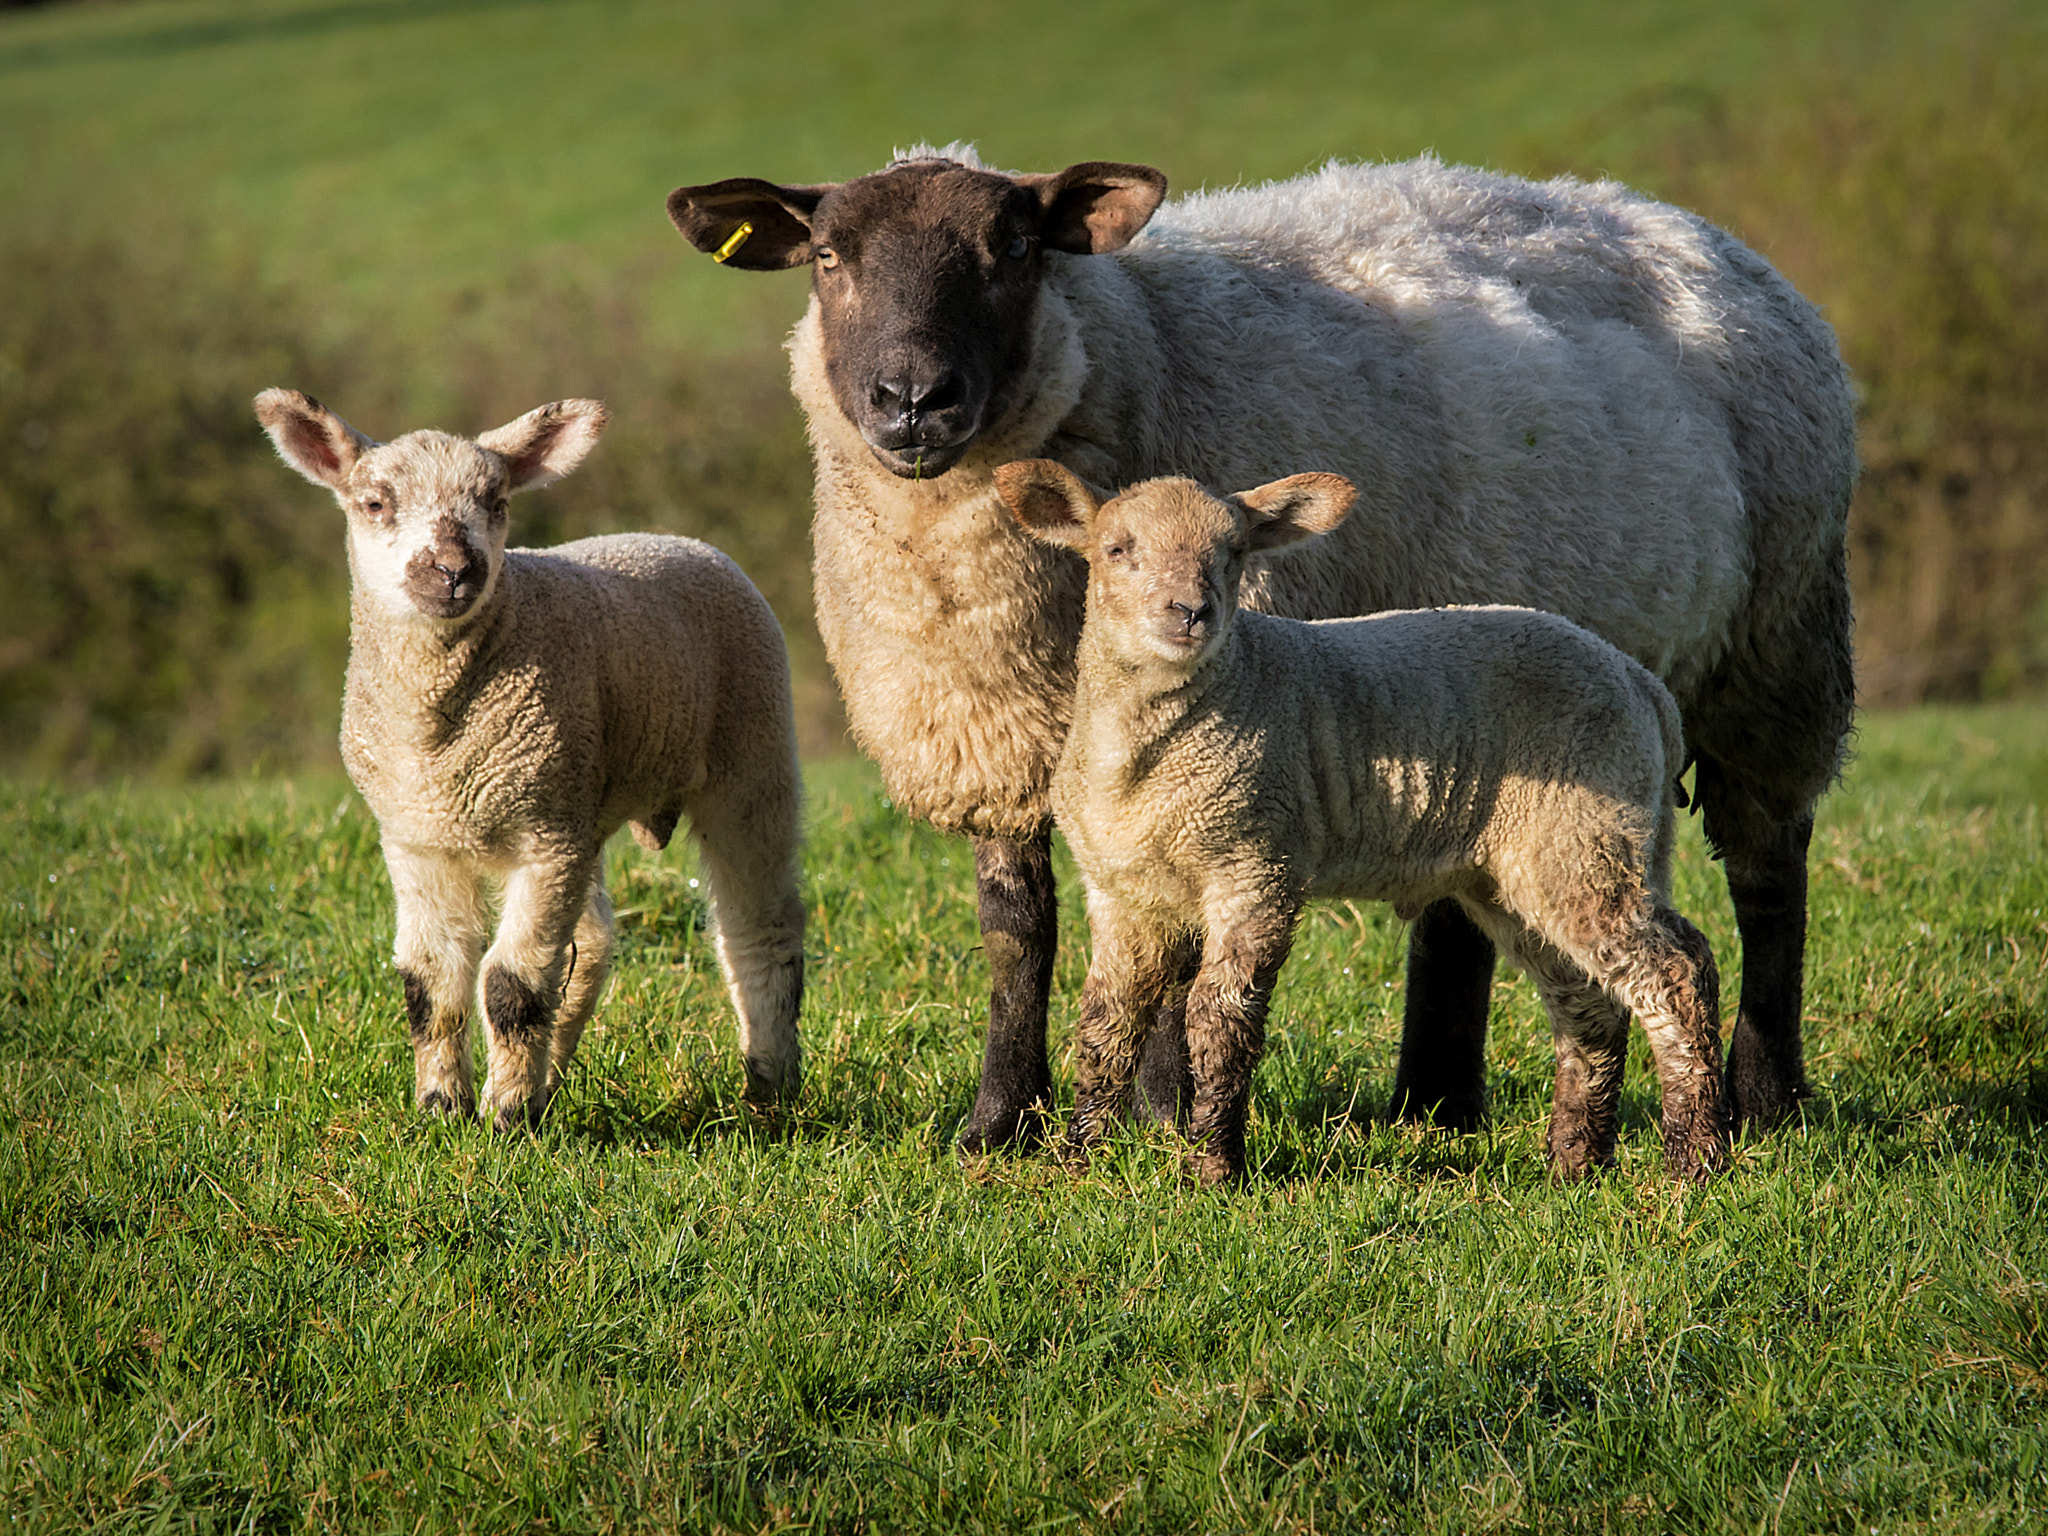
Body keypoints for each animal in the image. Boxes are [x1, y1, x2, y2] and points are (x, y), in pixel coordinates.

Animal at [251, 385, 802, 1130]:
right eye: (374, 503)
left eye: (497, 502)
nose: (454, 570)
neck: (438, 737)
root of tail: (678, 538)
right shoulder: (418, 836)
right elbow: (431, 981)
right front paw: (442, 1108)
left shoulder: (543, 838)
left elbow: (511, 985)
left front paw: (505, 1119)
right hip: (580, 796)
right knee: (591, 947)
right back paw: (551, 1082)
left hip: (749, 749)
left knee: (759, 928)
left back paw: (768, 1091)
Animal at [991, 462, 1728, 1196]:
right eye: (1117, 548)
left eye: (1234, 553)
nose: (1190, 611)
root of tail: (1643, 688)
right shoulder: (1120, 891)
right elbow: (1105, 1024)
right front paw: (1075, 1161)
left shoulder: (1258, 862)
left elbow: (1220, 1019)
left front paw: (1212, 1169)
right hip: (1527, 866)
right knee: (1588, 1004)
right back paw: (1576, 1162)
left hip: (1586, 831)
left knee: (1675, 971)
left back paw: (1695, 1158)